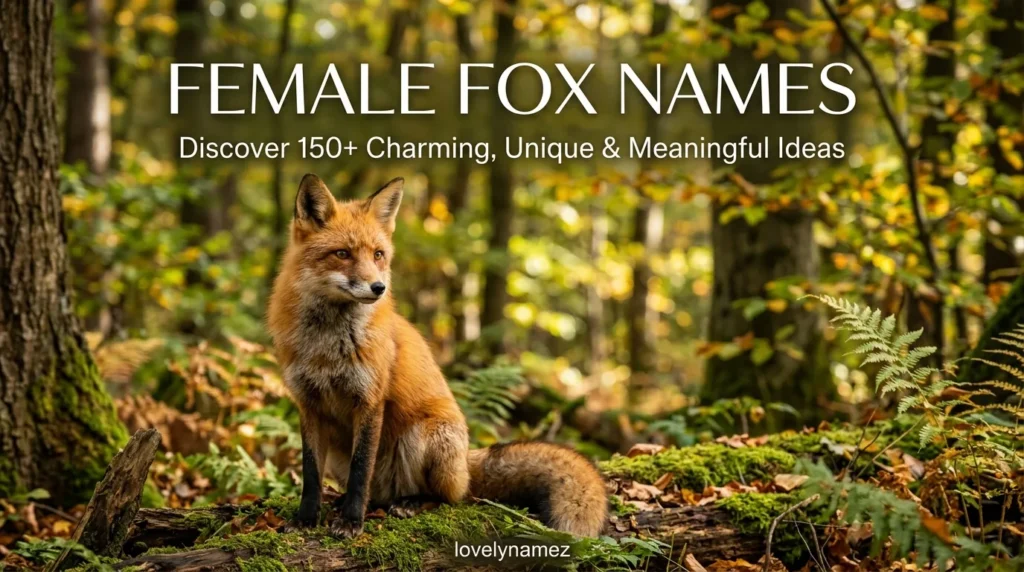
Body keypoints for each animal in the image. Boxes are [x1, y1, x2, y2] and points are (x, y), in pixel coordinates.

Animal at [267, 174, 607, 539]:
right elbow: (311, 475)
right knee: (381, 493)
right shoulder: (308, 404)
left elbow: (361, 472)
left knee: (448, 498)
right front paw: (306, 518)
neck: (327, 347)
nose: (378, 288)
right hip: (342, 455)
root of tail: (466, 464)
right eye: (342, 253)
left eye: (378, 254)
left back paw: (411, 503)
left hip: (426, 436)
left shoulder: (370, 400)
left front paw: (351, 521)